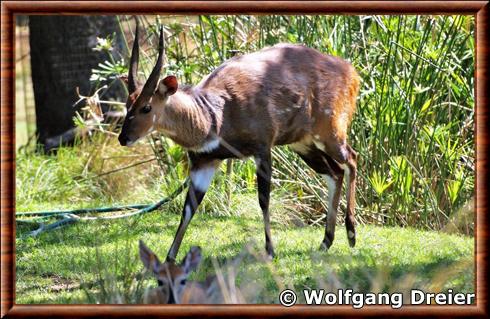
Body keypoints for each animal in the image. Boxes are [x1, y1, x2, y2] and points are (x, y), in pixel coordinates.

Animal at [119, 24, 360, 262]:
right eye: (127, 104)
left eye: (146, 107)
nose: (123, 138)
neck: (214, 116)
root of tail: (351, 72)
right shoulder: (204, 162)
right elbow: (189, 208)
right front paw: (170, 258)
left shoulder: (262, 148)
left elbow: (263, 199)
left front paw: (270, 251)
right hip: (303, 143)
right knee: (335, 172)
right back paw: (325, 242)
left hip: (330, 131)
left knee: (351, 158)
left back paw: (351, 234)